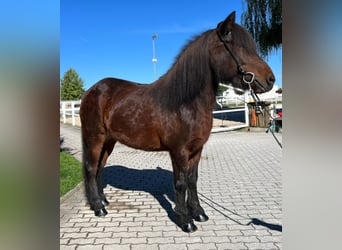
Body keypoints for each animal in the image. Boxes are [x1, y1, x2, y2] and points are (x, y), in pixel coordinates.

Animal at [80, 10, 276, 233]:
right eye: (238, 47)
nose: (270, 79)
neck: (185, 102)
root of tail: (92, 90)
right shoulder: (178, 151)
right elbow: (181, 183)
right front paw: (185, 220)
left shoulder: (197, 149)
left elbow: (192, 180)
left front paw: (199, 212)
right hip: (95, 138)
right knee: (90, 168)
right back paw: (98, 207)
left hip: (109, 141)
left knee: (99, 167)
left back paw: (104, 201)